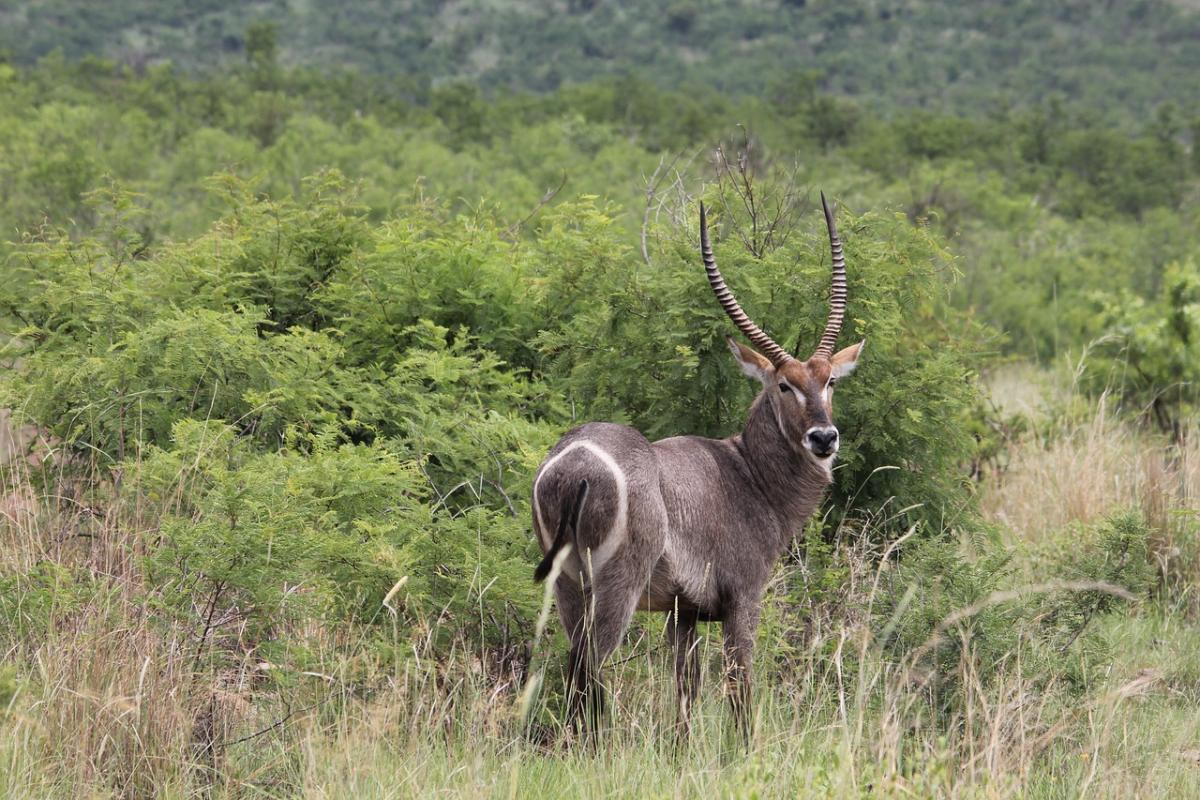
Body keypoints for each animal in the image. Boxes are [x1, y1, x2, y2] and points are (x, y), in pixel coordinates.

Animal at [528, 194, 864, 738]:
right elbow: (740, 688)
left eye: (829, 380)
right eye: (783, 385)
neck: (748, 474)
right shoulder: (743, 599)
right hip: (616, 584)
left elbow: (686, 693)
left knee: (575, 664)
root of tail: (574, 462)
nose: (824, 438)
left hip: (566, 585)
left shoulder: (681, 612)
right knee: (589, 664)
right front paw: (745, 750)